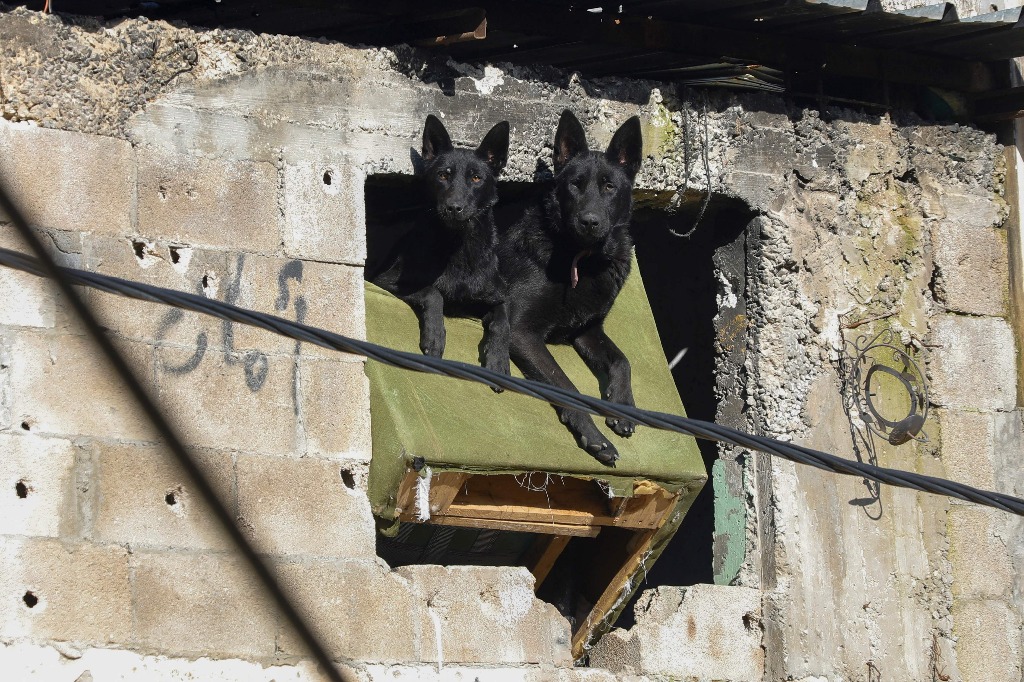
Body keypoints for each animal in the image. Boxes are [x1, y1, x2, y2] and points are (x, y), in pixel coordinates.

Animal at [368, 116, 512, 382]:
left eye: (476, 178)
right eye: (443, 175)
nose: (453, 207)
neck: (459, 247)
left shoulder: (498, 296)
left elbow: (503, 321)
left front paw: (498, 359)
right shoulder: (386, 280)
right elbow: (433, 293)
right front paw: (435, 335)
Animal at [485, 109, 638, 464]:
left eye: (609, 186)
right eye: (575, 185)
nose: (589, 221)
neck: (582, 259)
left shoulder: (587, 331)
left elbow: (622, 359)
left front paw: (622, 405)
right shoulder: (522, 332)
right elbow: (566, 386)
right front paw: (594, 435)